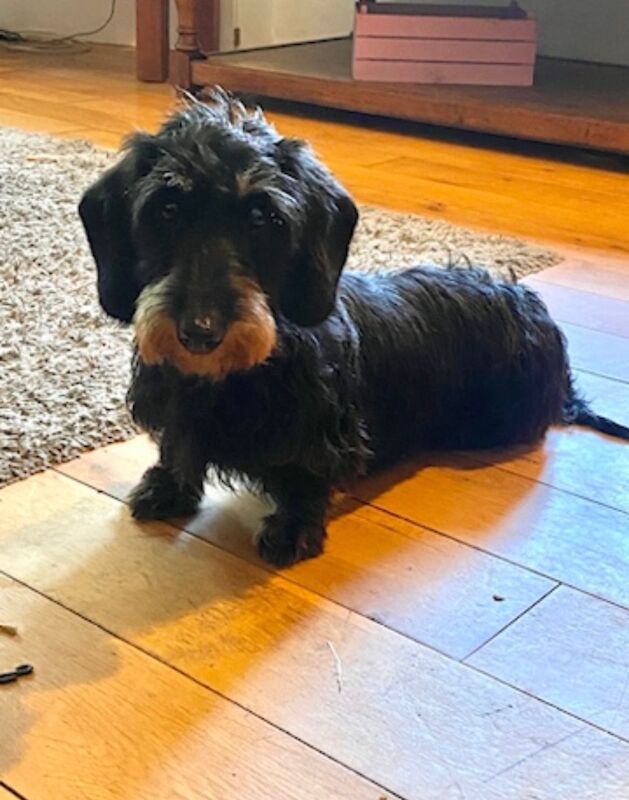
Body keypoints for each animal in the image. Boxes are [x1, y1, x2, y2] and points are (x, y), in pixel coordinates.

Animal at [78, 90, 628, 564]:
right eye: (167, 209)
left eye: (262, 218)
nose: (200, 333)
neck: (230, 377)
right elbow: (176, 447)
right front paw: (166, 486)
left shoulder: (321, 436)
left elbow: (305, 477)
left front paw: (292, 528)